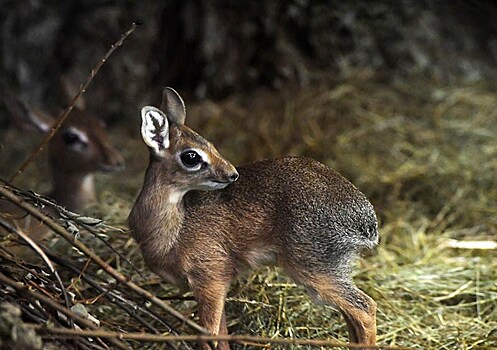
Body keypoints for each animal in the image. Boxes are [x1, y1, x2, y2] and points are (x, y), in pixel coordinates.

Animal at [130, 88, 378, 350]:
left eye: (210, 145)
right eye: (191, 156)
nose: (232, 174)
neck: (172, 230)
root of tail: (365, 219)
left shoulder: (211, 280)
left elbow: (210, 336)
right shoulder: (216, 285)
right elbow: (222, 335)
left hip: (314, 269)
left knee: (365, 307)